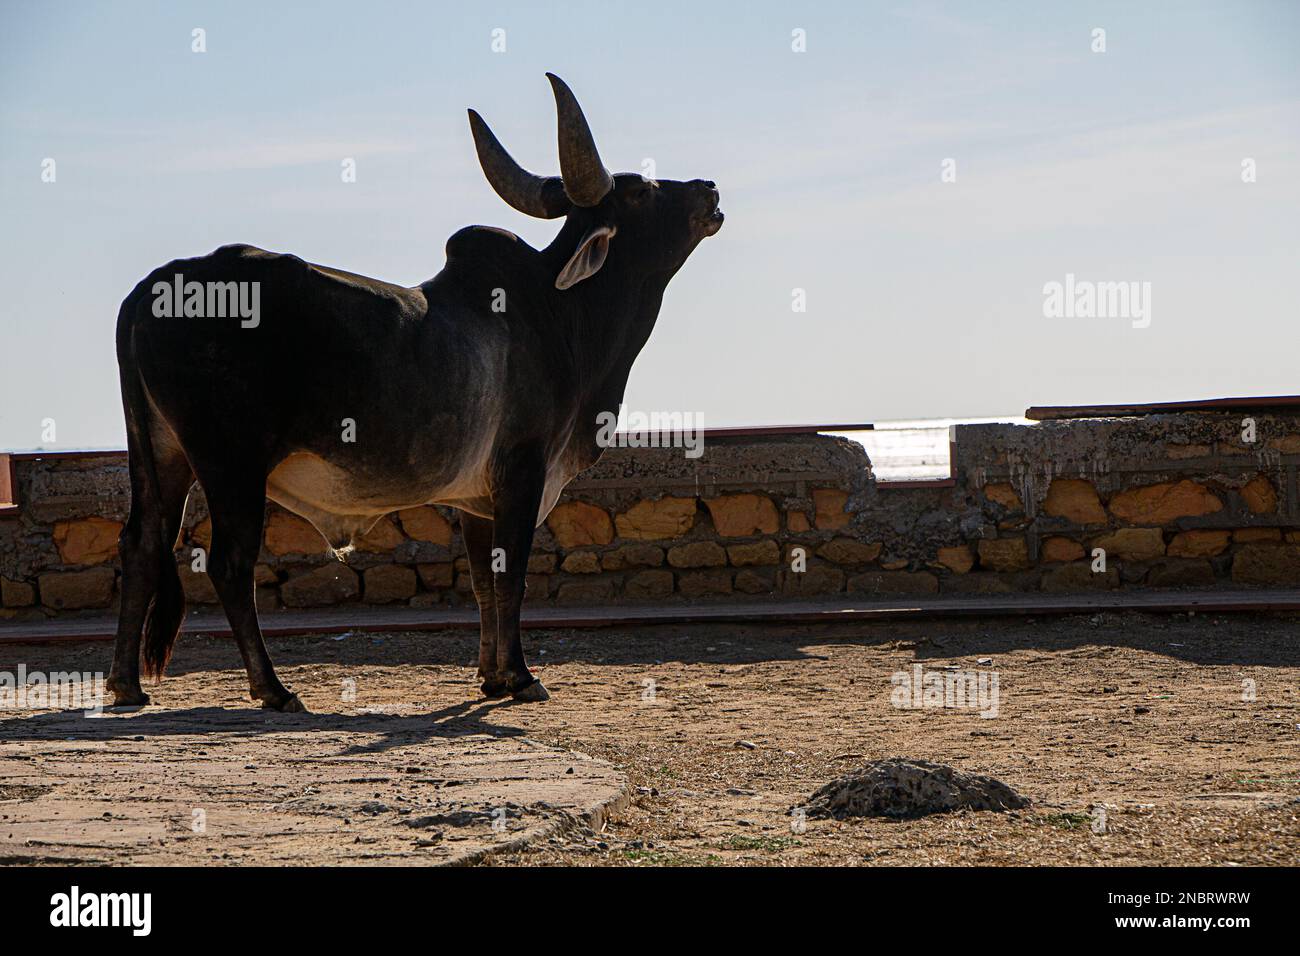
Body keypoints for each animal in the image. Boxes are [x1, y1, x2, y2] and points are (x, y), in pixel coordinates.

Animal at [109, 74, 722, 707]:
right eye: (641, 191)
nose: (709, 190)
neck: (561, 311)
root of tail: (150, 289)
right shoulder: (523, 473)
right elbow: (513, 577)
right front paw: (522, 676)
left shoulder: (478, 500)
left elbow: (483, 583)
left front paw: (491, 675)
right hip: (231, 464)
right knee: (229, 564)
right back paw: (272, 688)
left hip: (163, 453)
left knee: (141, 544)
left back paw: (127, 685)